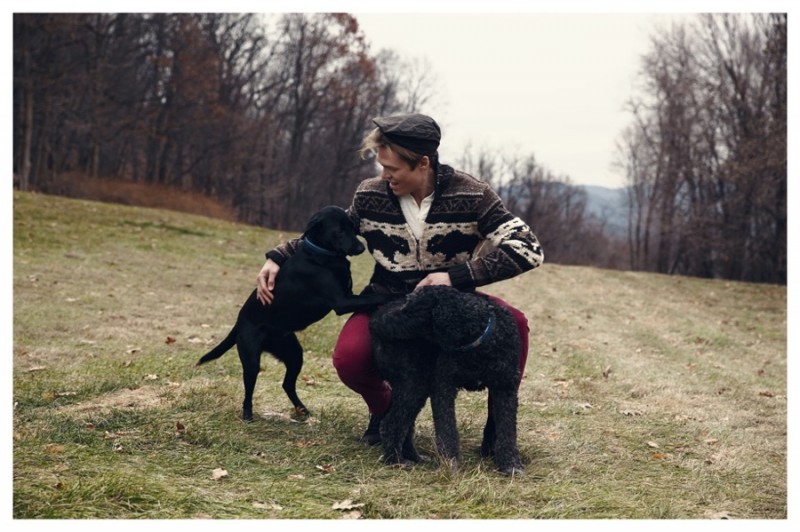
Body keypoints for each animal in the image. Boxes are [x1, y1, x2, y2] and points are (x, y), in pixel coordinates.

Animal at [197, 206, 384, 422]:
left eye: (353, 228)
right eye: (339, 231)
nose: (361, 248)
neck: (321, 254)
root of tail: (239, 322)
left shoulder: (350, 295)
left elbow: (371, 297)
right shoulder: (342, 302)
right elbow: (377, 297)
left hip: (294, 354)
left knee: (287, 384)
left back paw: (302, 410)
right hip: (252, 360)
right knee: (249, 389)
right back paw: (248, 414)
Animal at [370, 286, 524, 474]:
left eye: (411, 310)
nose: (376, 322)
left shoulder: (505, 388)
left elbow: (507, 430)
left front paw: (510, 464)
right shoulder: (443, 387)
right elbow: (447, 430)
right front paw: (450, 464)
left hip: (415, 386)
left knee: (404, 423)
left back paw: (413, 457)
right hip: (414, 384)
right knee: (391, 423)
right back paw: (395, 460)